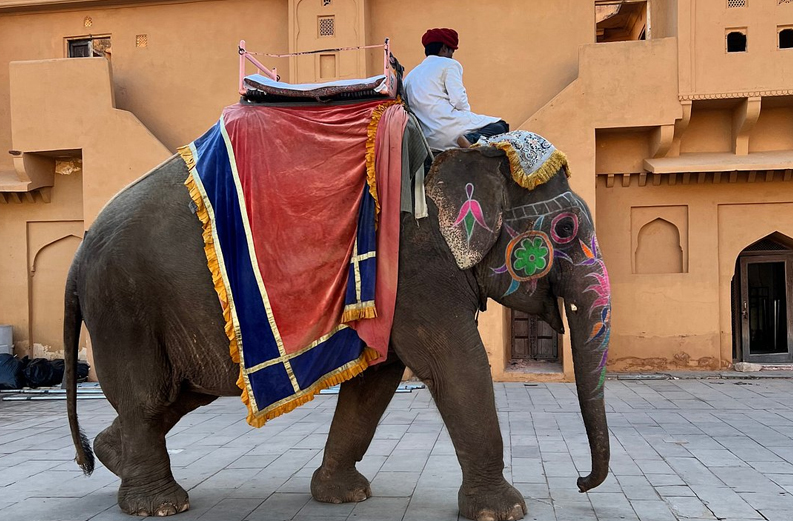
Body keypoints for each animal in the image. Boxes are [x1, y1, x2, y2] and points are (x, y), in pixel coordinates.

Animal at [65, 128, 612, 516]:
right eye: (566, 230)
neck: (460, 155)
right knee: (148, 395)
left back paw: (113, 457)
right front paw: (505, 511)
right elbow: (455, 366)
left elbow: (376, 380)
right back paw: (158, 505)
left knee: (179, 394)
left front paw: (343, 496)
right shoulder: (415, 272)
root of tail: (78, 254)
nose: (581, 483)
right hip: (124, 306)